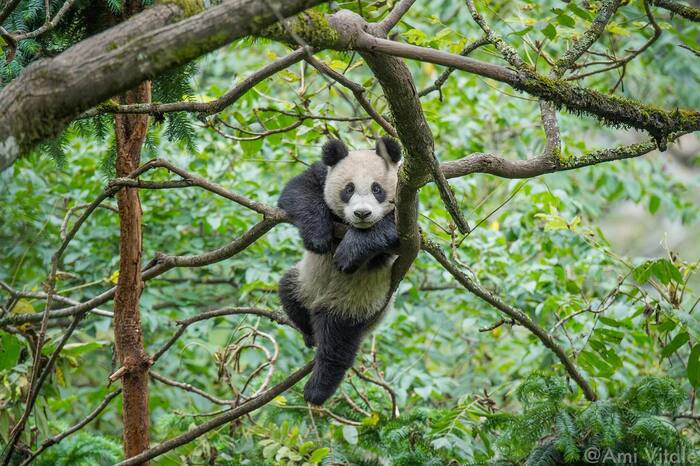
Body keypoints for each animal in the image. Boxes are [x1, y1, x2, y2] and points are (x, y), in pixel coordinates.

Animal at [278, 135, 402, 404]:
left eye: (377, 189)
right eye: (349, 189)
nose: (362, 213)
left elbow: (391, 230)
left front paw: (349, 253)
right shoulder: (321, 175)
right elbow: (298, 190)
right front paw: (318, 237)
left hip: (354, 302)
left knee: (337, 343)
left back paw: (316, 389)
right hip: (304, 281)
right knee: (288, 291)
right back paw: (309, 333)